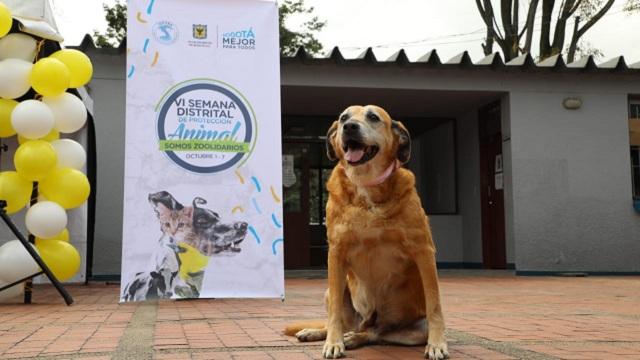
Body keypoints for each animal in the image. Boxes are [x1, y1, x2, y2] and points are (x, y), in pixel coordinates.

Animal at [286, 105, 450, 358]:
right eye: (344, 117)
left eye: (373, 117)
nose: (349, 127)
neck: (366, 184)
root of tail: (366, 322)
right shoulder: (336, 253)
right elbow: (334, 312)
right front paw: (333, 342)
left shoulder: (424, 251)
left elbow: (435, 304)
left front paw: (437, 343)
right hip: (330, 291)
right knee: (343, 321)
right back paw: (320, 333)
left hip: (410, 329)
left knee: (376, 334)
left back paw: (355, 338)